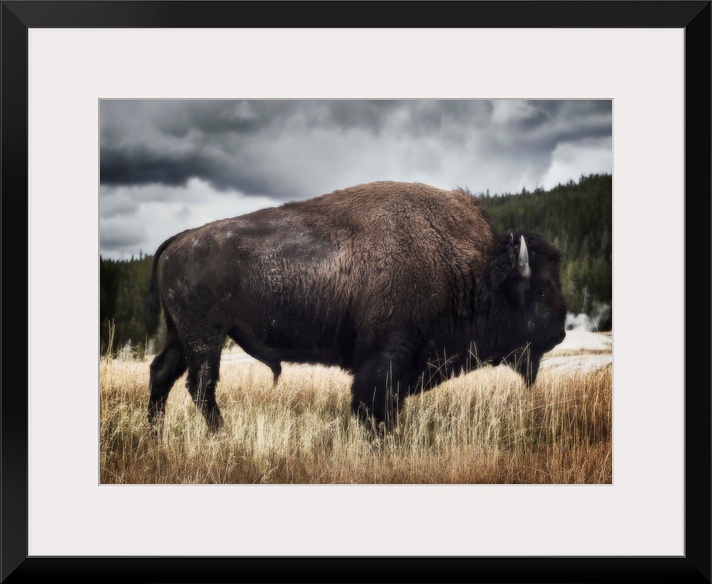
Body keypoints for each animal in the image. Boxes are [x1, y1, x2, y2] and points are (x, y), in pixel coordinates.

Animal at [145, 181, 568, 434]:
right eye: (541, 291)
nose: (561, 332)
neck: (467, 265)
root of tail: (180, 239)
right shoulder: (386, 357)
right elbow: (372, 404)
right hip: (206, 336)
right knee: (200, 385)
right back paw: (222, 435)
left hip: (181, 335)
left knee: (162, 374)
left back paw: (154, 433)